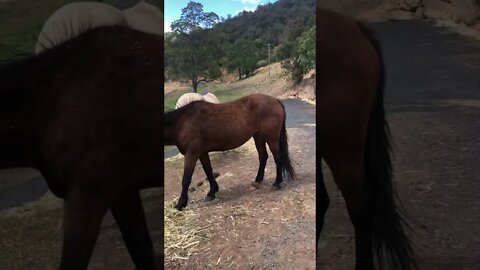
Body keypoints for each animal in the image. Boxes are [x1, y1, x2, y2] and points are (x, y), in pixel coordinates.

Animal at [163, 94, 294, 211]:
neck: (183, 122)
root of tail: (275, 100)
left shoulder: (192, 153)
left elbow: (186, 179)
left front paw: (180, 204)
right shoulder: (202, 153)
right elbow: (208, 171)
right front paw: (212, 192)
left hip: (271, 138)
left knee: (277, 158)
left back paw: (277, 183)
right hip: (258, 137)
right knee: (263, 157)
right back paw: (258, 180)